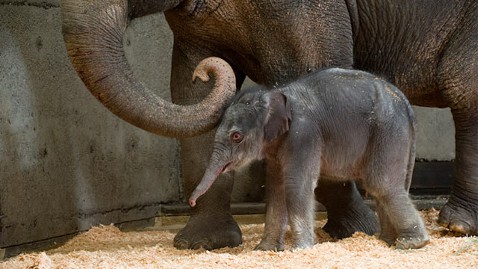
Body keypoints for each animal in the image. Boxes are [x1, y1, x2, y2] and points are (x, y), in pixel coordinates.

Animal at [188, 67, 430, 249]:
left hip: (388, 131)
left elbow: (296, 184)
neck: (275, 94)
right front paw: (265, 249)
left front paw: (300, 249)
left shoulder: (303, 134)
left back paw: (412, 243)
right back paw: (387, 241)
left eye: (236, 136)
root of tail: (404, 102)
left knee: (381, 184)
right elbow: (276, 188)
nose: (191, 202)